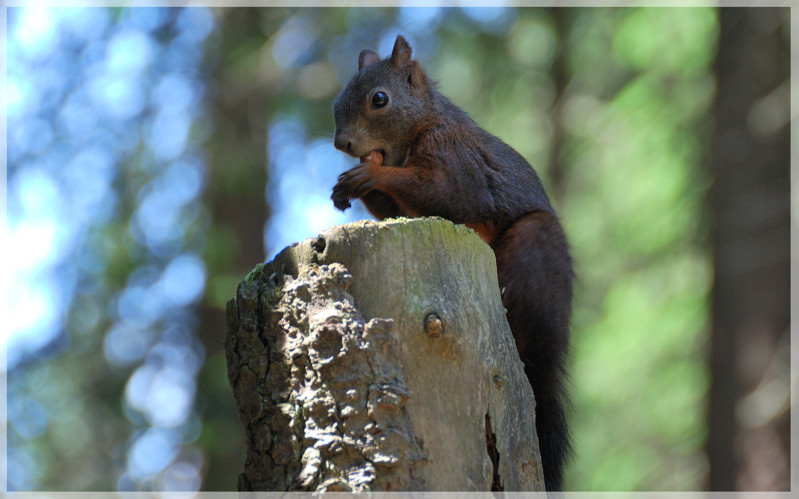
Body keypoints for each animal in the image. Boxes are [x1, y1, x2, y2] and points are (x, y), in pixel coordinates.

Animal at [331, 35, 573, 491]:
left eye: (379, 99)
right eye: (337, 101)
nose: (342, 145)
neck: (421, 125)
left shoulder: (455, 156)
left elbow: (446, 194)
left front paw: (370, 176)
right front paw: (349, 183)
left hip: (534, 252)